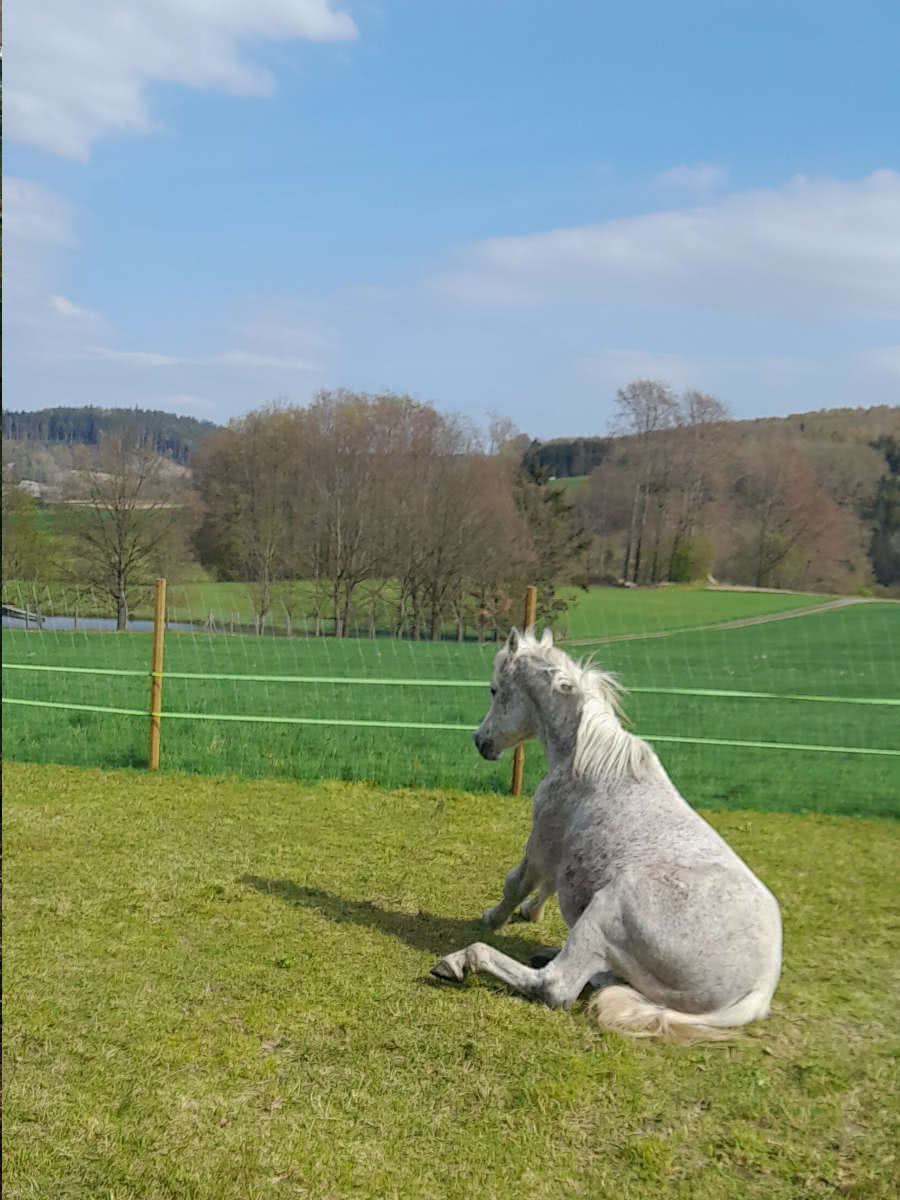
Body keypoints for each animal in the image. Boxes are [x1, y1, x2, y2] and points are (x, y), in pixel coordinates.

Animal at [432, 628, 782, 1041]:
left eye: (494, 689)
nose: (481, 741)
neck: (585, 763)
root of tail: (759, 990)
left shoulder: (542, 842)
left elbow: (517, 882)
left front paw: (494, 918)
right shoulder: (561, 851)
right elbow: (550, 884)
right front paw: (529, 913)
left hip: (607, 907)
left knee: (555, 985)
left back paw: (462, 961)